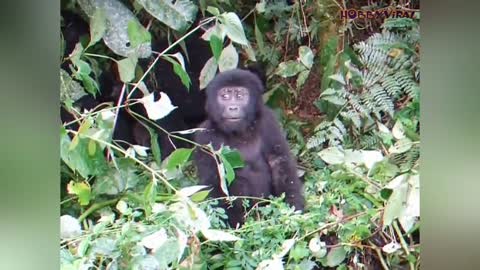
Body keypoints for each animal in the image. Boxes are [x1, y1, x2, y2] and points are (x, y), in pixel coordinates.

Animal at [192, 68, 302, 227]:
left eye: (240, 95)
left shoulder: (268, 120)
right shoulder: (205, 136)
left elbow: (280, 163)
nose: (233, 107)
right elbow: (214, 181)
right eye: (225, 96)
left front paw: (293, 207)